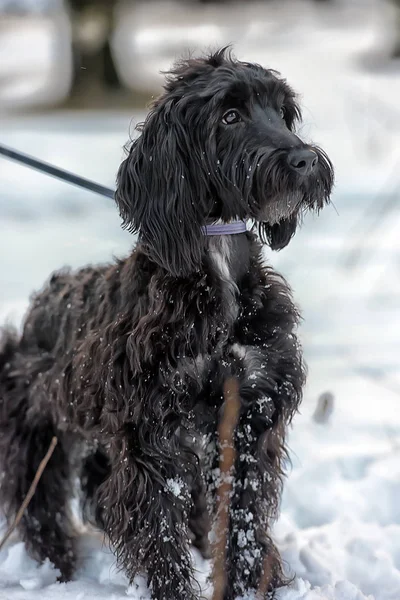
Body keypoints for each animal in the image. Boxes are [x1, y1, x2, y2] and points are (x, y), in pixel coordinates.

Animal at [0, 49, 332, 596]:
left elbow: (242, 519)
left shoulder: (252, 414)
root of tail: (42, 301)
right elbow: (156, 530)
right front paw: (175, 588)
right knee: (39, 505)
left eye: (283, 113)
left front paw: (248, 584)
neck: (218, 267)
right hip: (37, 426)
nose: (303, 160)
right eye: (230, 116)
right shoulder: (147, 432)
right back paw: (58, 568)